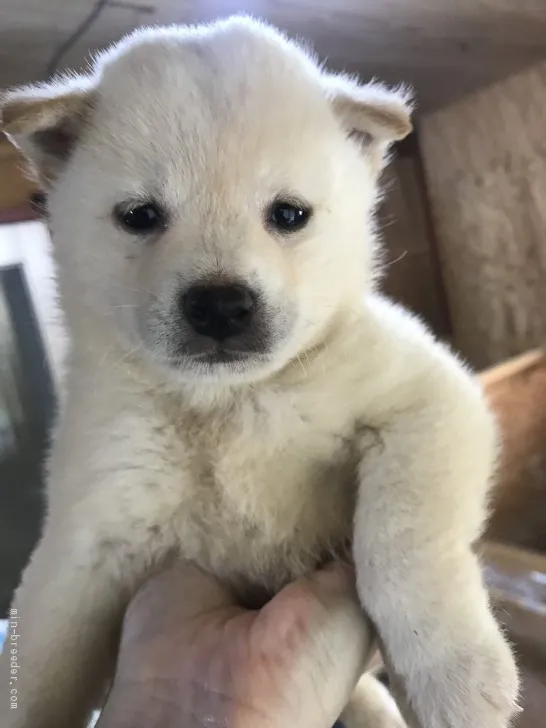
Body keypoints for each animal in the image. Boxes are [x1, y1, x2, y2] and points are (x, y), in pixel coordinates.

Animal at [0, 17, 516, 728]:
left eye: (289, 214)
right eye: (140, 215)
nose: (220, 304)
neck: (228, 404)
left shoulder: (426, 397)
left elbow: (403, 543)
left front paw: (455, 675)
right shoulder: (92, 531)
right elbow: (38, 658)